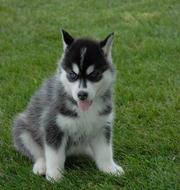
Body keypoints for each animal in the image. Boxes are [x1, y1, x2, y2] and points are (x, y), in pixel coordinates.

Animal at [12, 29, 124, 181]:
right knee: (38, 153)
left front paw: (110, 169)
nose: (82, 94)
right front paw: (54, 175)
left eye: (94, 74)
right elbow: (53, 155)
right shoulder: (53, 126)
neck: (85, 110)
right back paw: (41, 166)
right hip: (22, 129)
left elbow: (105, 152)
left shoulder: (102, 125)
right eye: (72, 74)